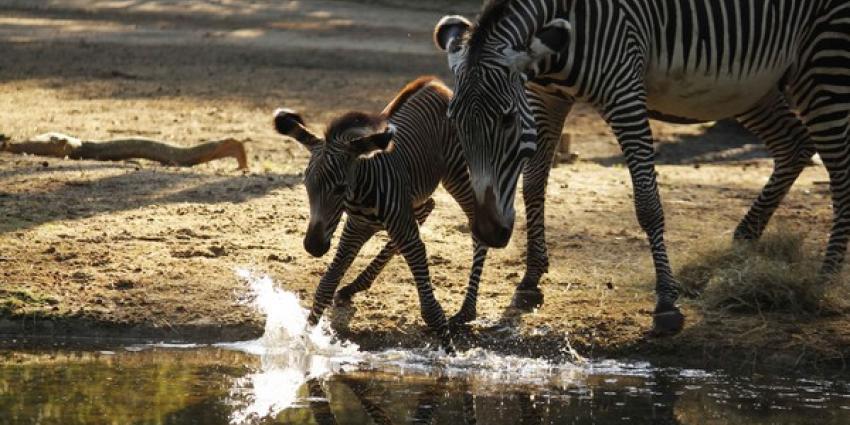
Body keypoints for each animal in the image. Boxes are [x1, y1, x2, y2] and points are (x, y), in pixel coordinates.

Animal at [274, 76, 486, 352]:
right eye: (307, 185)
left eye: (340, 187)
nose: (313, 246)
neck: (360, 196)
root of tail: (435, 84)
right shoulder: (354, 229)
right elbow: (325, 287)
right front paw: (303, 344)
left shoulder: (403, 233)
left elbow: (430, 310)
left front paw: (451, 354)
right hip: (414, 196)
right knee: (427, 206)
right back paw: (354, 286)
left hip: (456, 173)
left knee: (476, 224)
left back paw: (466, 310)